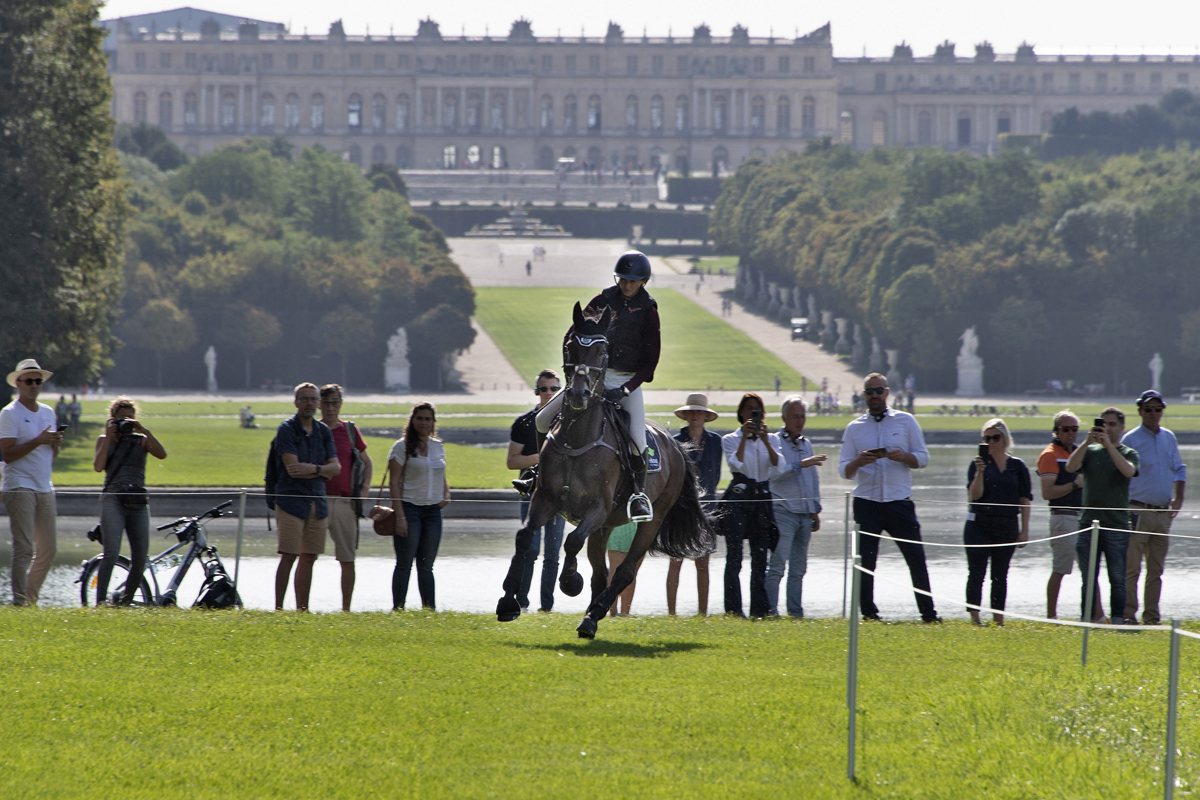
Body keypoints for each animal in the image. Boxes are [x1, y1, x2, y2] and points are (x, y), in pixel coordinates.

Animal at [494, 299, 715, 638]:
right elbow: (524, 536)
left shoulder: (596, 508)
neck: (578, 438)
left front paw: (570, 582)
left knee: (624, 571)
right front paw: (508, 602)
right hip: (606, 527)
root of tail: (677, 447)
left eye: (602, 351)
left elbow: (571, 542)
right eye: (570, 347)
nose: (578, 394)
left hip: (650, 520)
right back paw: (592, 615)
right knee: (602, 571)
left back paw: (591, 617)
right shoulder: (544, 499)